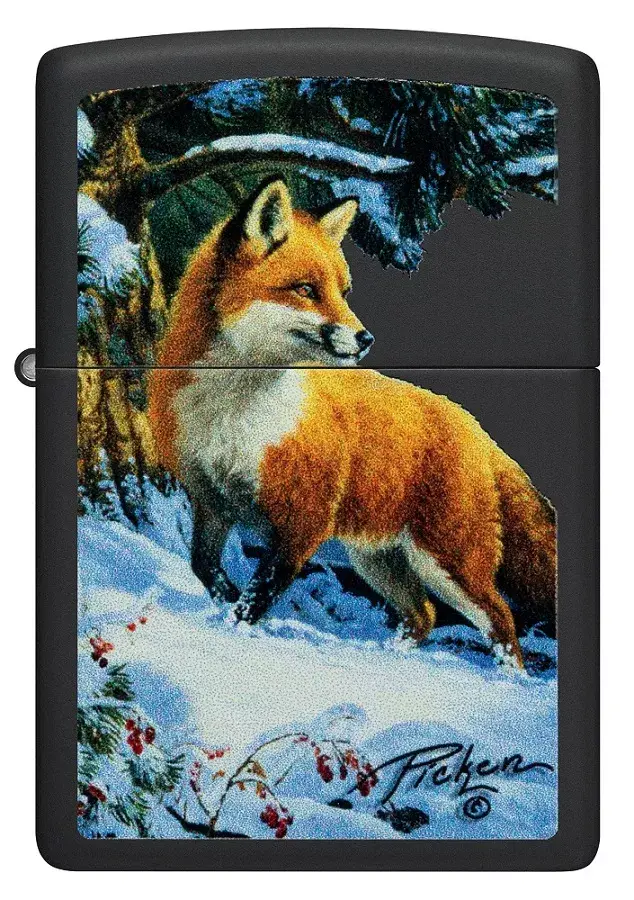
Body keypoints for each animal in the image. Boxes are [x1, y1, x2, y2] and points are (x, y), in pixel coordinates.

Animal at [148, 176, 556, 670]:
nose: (366, 339)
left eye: (342, 291)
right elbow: (205, 569)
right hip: (377, 560)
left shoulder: (303, 522)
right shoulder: (211, 502)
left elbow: (258, 596)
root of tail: (473, 425)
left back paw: (510, 677)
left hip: (447, 561)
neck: (233, 415)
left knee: (501, 621)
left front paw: (231, 633)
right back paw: (390, 657)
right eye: (306, 289)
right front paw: (221, 607)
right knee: (422, 615)